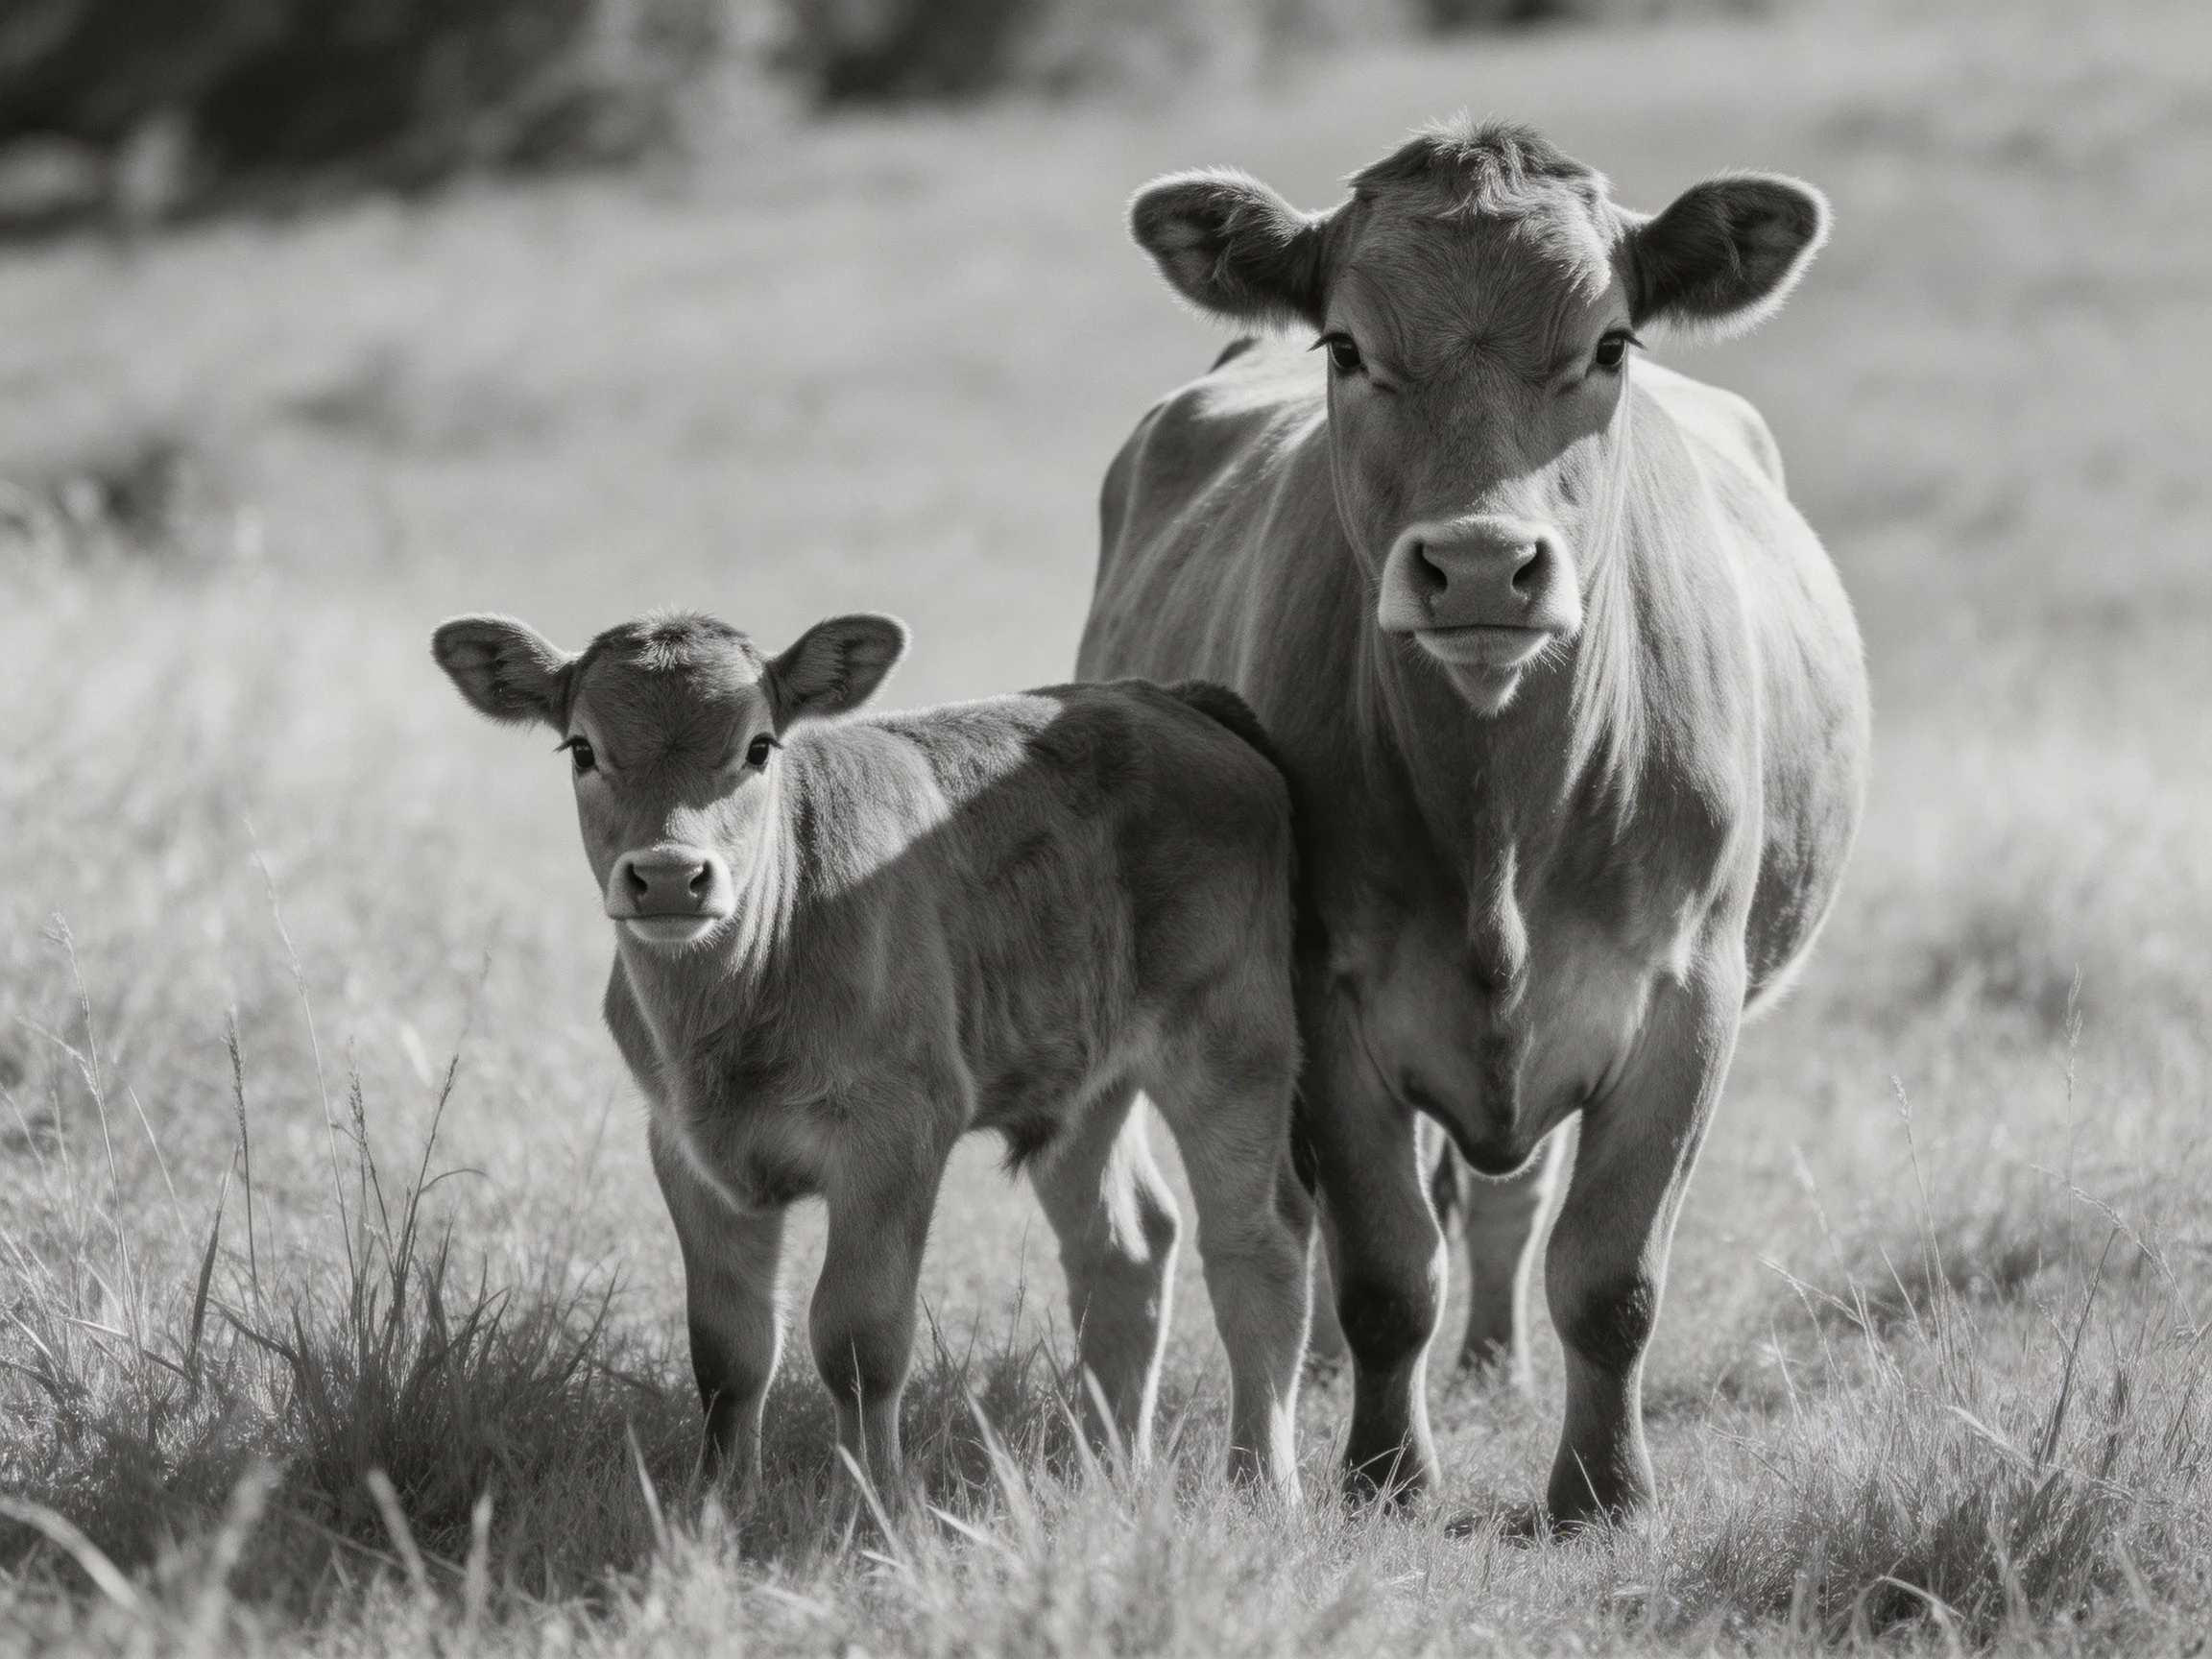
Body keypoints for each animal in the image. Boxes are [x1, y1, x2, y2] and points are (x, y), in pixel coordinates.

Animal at [432, 610, 1316, 1503]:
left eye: (759, 747)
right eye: (582, 748)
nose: (672, 876)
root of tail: (1164, 698)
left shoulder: (898, 1129)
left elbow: (858, 1338)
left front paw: (874, 1500)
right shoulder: (681, 1144)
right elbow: (726, 1349)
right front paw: (719, 1497)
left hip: (1234, 1039)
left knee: (1257, 1246)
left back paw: (1261, 1483)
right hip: (1081, 1074)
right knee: (1126, 1248)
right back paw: (1107, 1471)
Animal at [1080, 119, 1870, 1528]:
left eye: (1611, 344)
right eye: (1346, 346)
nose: (1486, 567)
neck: (1501, 812)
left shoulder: (1687, 995)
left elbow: (1609, 1275)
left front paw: (1602, 1493)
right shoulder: (1326, 995)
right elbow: (1388, 1268)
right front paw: (1387, 1474)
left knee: (1511, 1210)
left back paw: (1500, 1362)